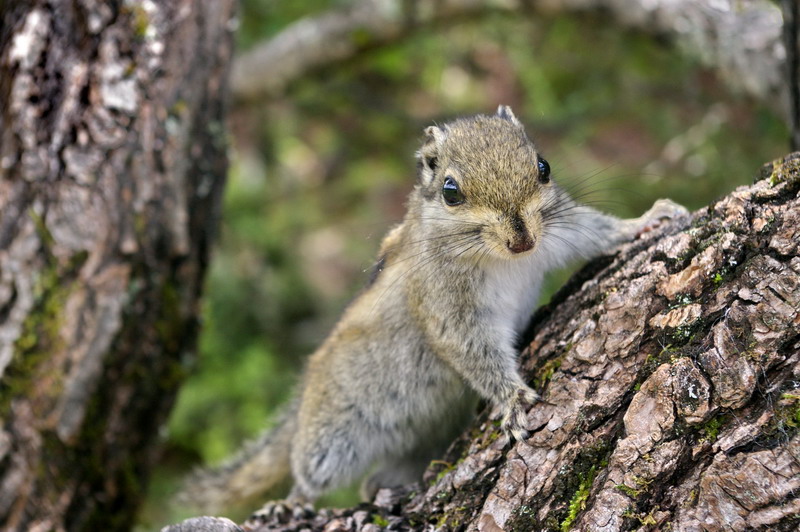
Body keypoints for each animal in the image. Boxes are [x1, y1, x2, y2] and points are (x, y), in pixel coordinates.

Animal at [180, 105, 680, 516]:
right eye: (450, 191)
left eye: (543, 167)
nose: (522, 240)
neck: (504, 260)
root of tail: (305, 398)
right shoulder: (444, 303)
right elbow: (470, 349)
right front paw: (513, 400)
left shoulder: (561, 229)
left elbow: (596, 232)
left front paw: (646, 220)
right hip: (334, 431)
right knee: (311, 470)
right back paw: (294, 502)